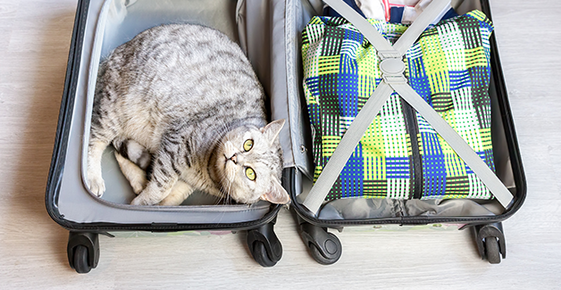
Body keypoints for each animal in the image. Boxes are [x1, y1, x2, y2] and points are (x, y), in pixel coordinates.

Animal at [88, 24, 288, 206]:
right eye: (248, 144)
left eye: (250, 173)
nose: (233, 157)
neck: (209, 173)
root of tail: (114, 54)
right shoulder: (176, 143)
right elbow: (161, 187)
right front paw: (142, 203)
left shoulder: (187, 182)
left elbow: (173, 195)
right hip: (113, 109)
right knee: (94, 140)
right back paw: (94, 178)